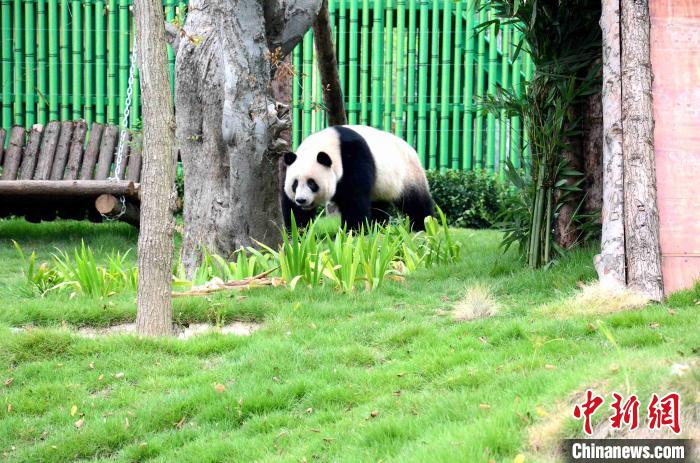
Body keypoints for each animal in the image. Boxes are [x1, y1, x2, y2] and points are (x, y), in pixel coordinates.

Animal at [282, 125, 434, 232]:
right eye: (295, 184)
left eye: (312, 183)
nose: (301, 200)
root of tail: (412, 149)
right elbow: (293, 209)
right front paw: (298, 232)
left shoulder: (354, 157)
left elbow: (354, 198)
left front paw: (353, 231)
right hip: (382, 185)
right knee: (379, 205)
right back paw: (378, 226)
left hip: (408, 174)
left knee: (416, 201)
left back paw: (423, 225)